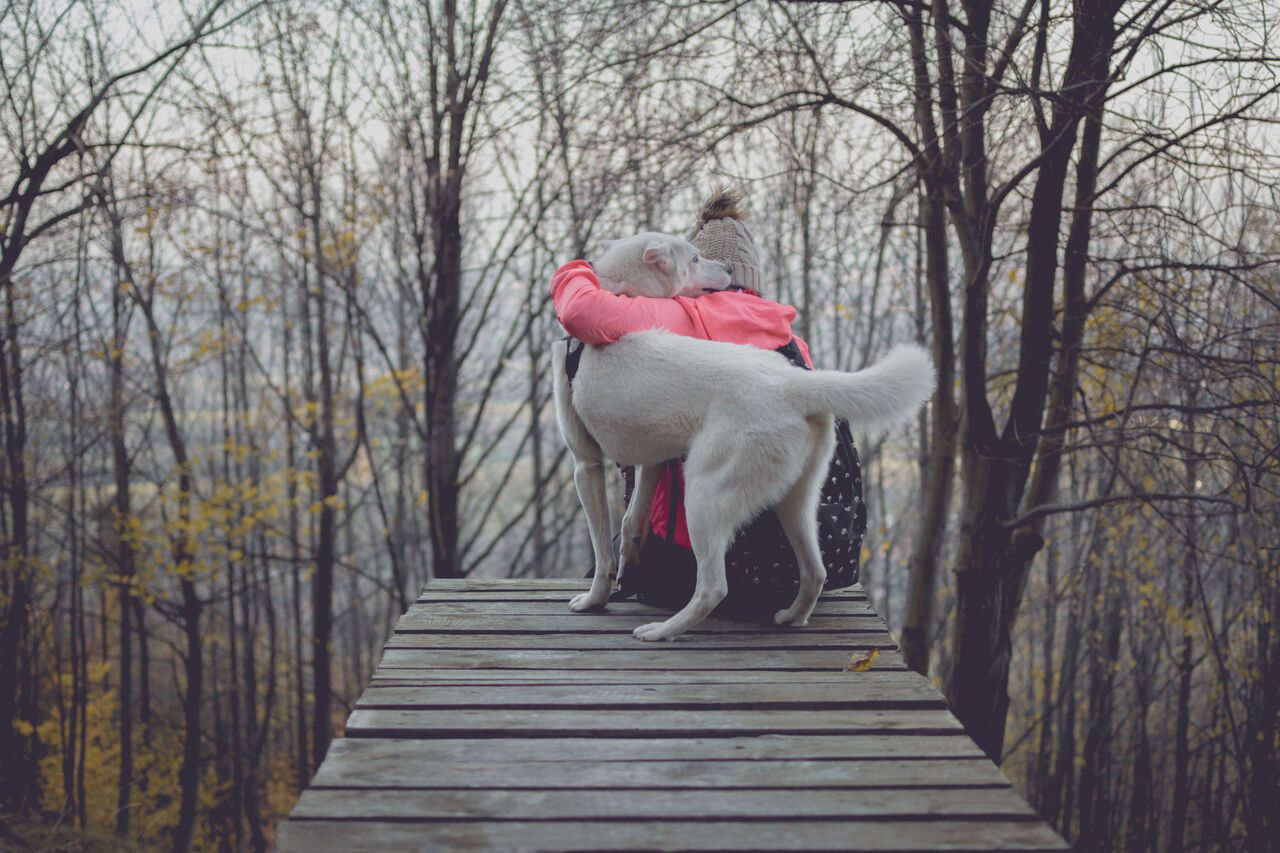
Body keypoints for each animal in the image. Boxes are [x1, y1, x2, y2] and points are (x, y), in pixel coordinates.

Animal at [550, 229, 931, 640]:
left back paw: (662, 630)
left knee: (714, 587)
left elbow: (603, 549)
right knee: (815, 572)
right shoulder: (651, 461)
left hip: (704, 494)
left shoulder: (586, 465)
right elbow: (631, 521)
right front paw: (630, 560)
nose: (730, 269)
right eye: (695, 258)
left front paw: (595, 599)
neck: (623, 290)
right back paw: (791, 617)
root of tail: (793, 383)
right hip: (796, 503)